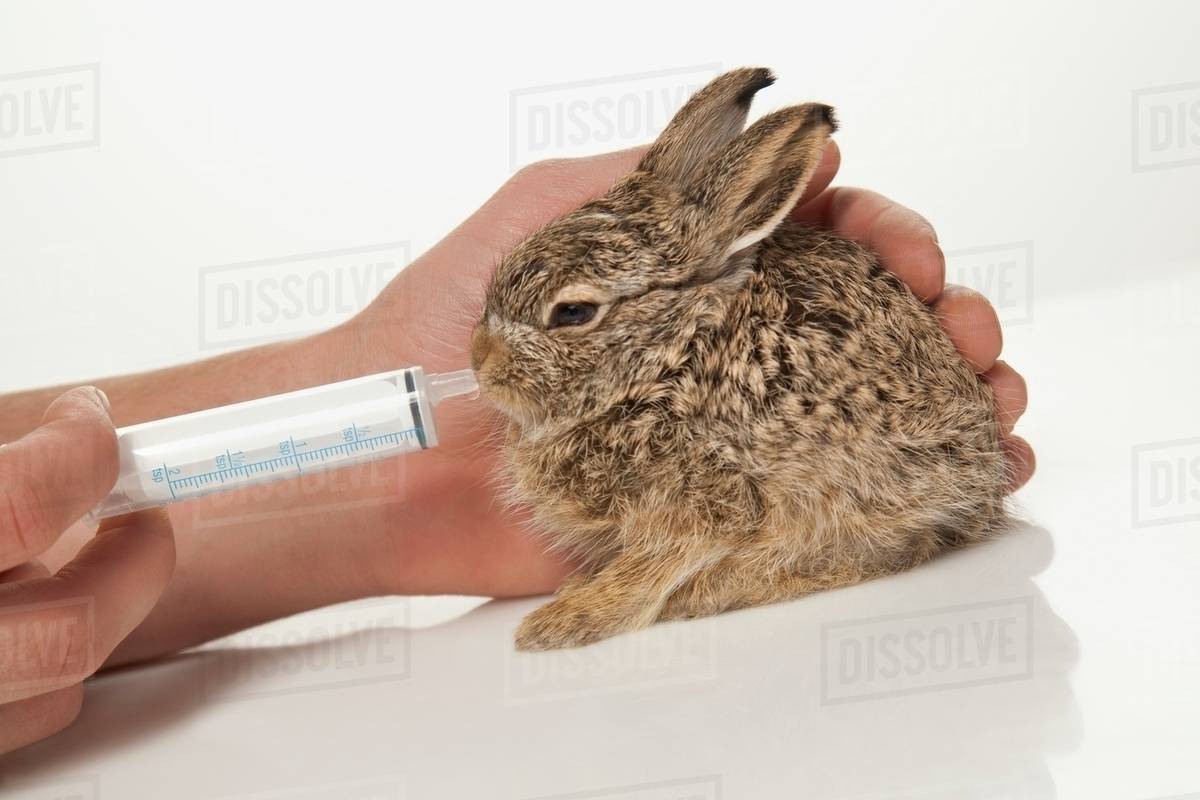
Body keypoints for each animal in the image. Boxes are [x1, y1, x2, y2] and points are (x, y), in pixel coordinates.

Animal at [471, 67, 1012, 651]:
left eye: (572, 312)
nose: (479, 361)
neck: (666, 359)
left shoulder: (713, 498)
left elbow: (654, 567)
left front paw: (565, 621)